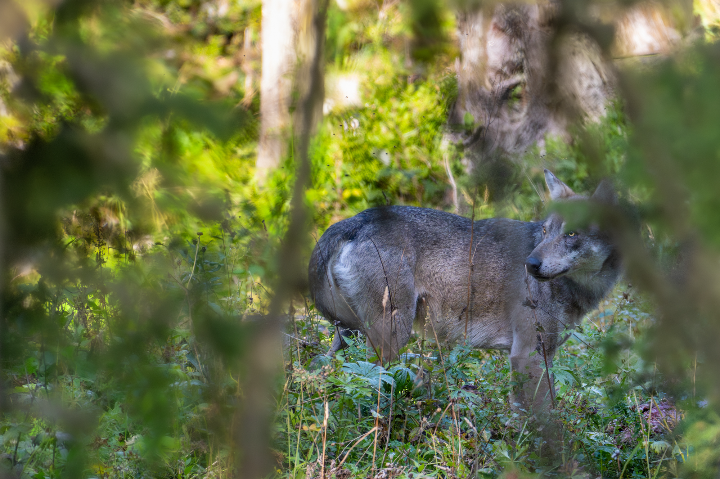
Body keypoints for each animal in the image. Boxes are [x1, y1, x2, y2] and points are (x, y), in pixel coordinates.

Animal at [308, 170, 620, 408]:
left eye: (571, 233)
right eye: (545, 231)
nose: (529, 264)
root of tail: (354, 221)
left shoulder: (543, 357)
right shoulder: (527, 355)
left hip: (349, 337)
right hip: (389, 339)